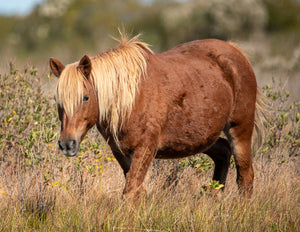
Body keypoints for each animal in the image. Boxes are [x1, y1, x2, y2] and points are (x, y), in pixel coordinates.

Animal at [49, 35, 260, 198]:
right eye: (57, 99)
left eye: (85, 97)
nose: (67, 144)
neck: (131, 99)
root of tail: (235, 50)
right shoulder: (121, 152)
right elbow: (137, 191)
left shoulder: (145, 149)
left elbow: (130, 191)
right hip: (201, 138)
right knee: (223, 153)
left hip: (240, 129)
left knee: (245, 176)